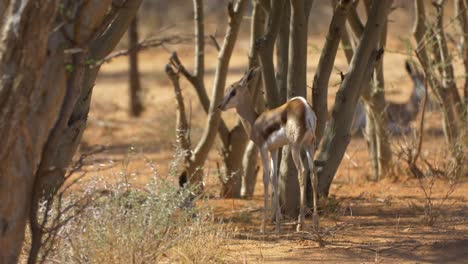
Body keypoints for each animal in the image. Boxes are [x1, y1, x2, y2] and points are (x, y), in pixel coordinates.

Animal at [218, 67, 320, 232]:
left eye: (233, 91)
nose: (220, 105)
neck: (255, 121)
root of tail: (306, 108)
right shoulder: (274, 149)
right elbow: (274, 178)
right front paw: (278, 224)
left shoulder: (263, 148)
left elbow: (266, 179)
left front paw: (263, 225)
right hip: (308, 145)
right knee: (313, 173)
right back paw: (316, 222)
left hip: (295, 147)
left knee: (302, 172)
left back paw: (300, 224)